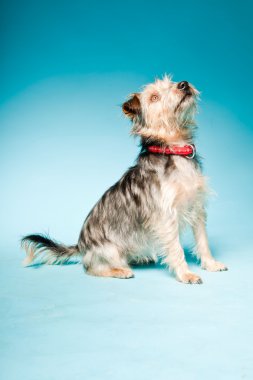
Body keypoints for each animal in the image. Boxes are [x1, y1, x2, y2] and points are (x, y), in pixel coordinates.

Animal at [21, 75, 227, 284]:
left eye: (172, 82)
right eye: (154, 97)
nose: (183, 84)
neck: (174, 150)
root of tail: (81, 246)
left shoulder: (198, 208)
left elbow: (202, 240)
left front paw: (210, 264)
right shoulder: (166, 217)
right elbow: (176, 249)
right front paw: (186, 274)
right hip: (109, 250)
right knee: (90, 268)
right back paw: (119, 271)